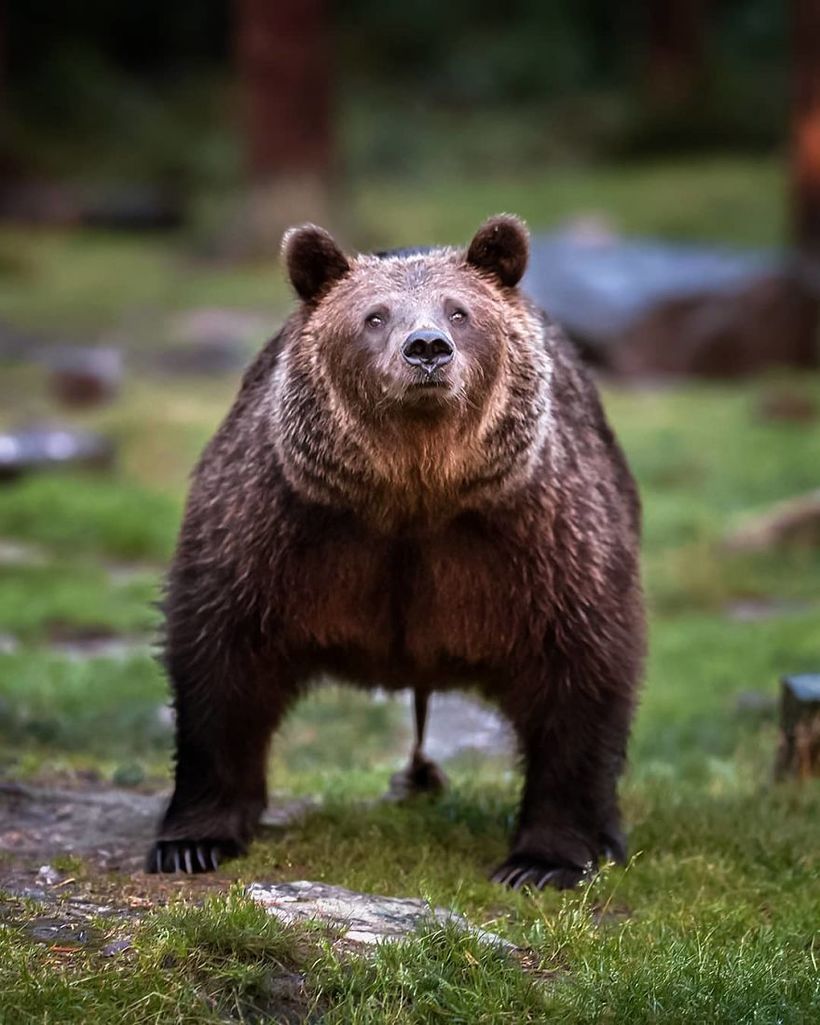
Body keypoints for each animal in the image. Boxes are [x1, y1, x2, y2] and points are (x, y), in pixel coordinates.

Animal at [148, 214, 647, 889]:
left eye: (460, 310)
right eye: (375, 315)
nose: (427, 347)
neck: (414, 489)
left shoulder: (536, 533)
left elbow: (581, 671)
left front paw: (544, 860)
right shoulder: (278, 523)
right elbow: (220, 659)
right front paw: (192, 840)